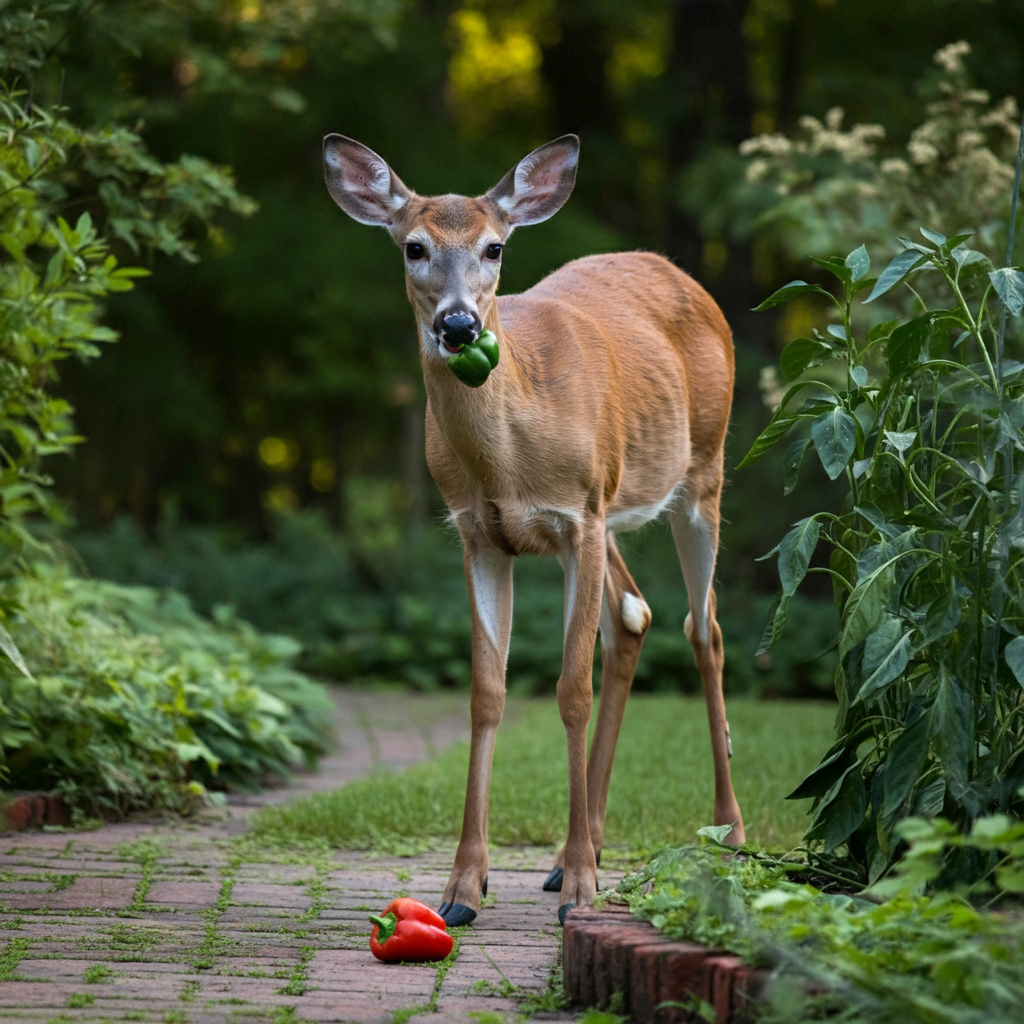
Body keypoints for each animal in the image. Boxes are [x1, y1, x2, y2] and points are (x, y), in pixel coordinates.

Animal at [323, 132, 749, 925]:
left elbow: (570, 688)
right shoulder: (482, 535)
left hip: (700, 475)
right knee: (633, 615)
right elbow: (487, 692)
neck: (508, 458)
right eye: (414, 247)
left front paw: (582, 886)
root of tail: (678, 270)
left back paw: (724, 832)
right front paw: (464, 887)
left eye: (494, 248)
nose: (459, 325)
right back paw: (577, 850)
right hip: (612, 511)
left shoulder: (577, 516)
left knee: (703, 628)